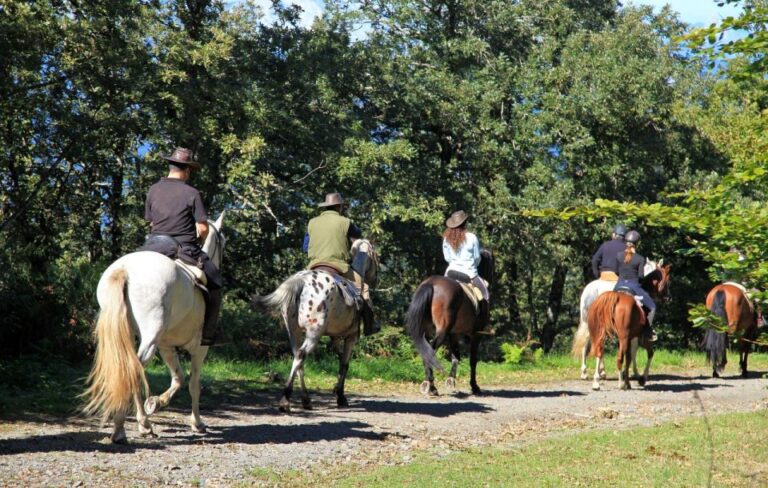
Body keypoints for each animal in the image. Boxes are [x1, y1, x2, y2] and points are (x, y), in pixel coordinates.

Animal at [82, 213, 225, 442]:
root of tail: (124, 269)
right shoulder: (200, 348)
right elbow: (194, 384)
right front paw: (197, 423)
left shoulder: (166, 346)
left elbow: (178, 378)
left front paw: (157, 402)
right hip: (150, 339)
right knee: (133, 371)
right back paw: (130, 426)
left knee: (130, 370)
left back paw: (138, 423)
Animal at [255, 240, 378, 412]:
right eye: (376, 257)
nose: (375, 279)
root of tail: (300, 280)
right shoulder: (351, 337)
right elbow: (345, 364)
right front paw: (340, 396)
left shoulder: (335, 338)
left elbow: (340, 361)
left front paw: (337, 391)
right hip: (314, 333)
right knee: (301, 355)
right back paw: (286, 399)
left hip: (294, 331)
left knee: (297, 358)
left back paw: (305, 399)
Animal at [404, 250, 496, 394]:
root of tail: (431, 284)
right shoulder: (476, 335)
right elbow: (472, 360)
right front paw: (474, 386)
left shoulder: (454, 334)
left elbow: (455, 356)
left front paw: (451, 380)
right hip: (442, 332)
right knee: (430, 351)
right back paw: (431, 386)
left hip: (427, 331)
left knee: (426, 351)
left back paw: (430, 385)